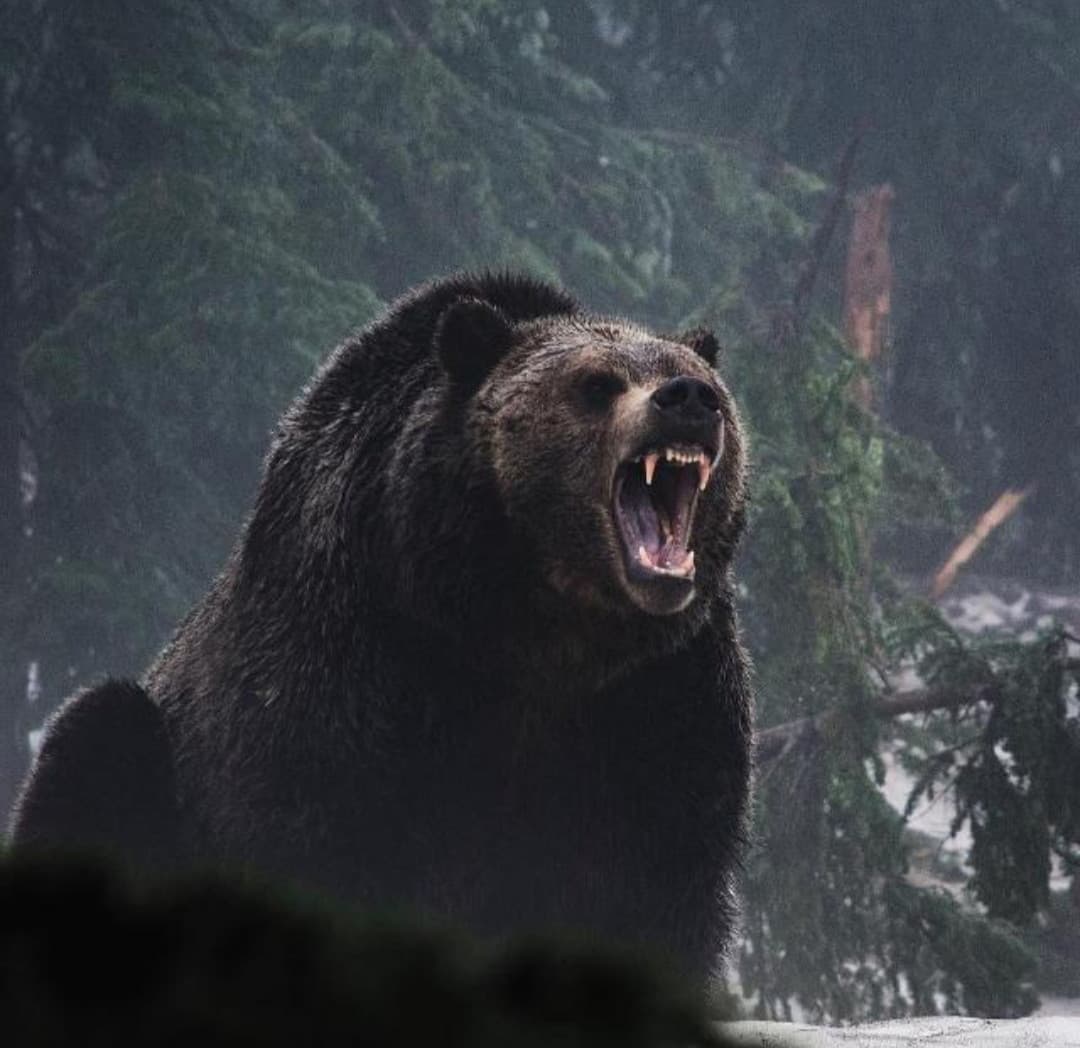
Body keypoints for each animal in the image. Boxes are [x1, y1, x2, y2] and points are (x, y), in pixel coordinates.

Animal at [8, 271, 751, 981]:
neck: (535, 625)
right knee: (95, 735)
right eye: (597, 383)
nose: (688, 397)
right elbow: (324, 842)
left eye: (698, 376)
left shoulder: (661, 697)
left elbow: (655, 881)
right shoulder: (354, 659)